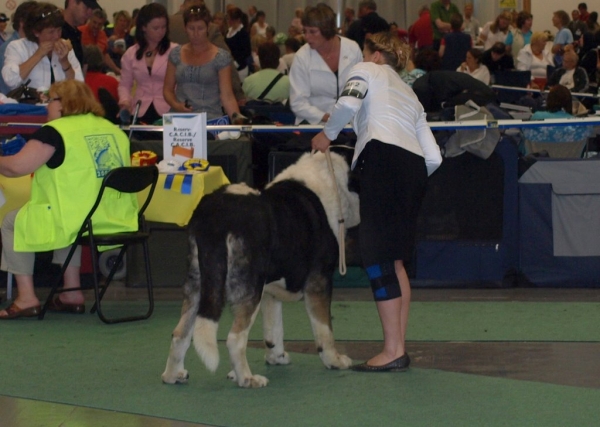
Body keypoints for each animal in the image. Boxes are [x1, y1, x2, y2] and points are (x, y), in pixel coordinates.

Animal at [162, 152, 360, 390]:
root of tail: (216, 217)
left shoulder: (270, 293)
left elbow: (274, 329)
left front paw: (277, 357)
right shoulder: (319, 281)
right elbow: (324, 329)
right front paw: (335, 360)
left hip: (199, 284)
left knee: (179, 333)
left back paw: (173, 375)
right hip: (250, 287)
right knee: (235, 338)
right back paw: (247, 379)